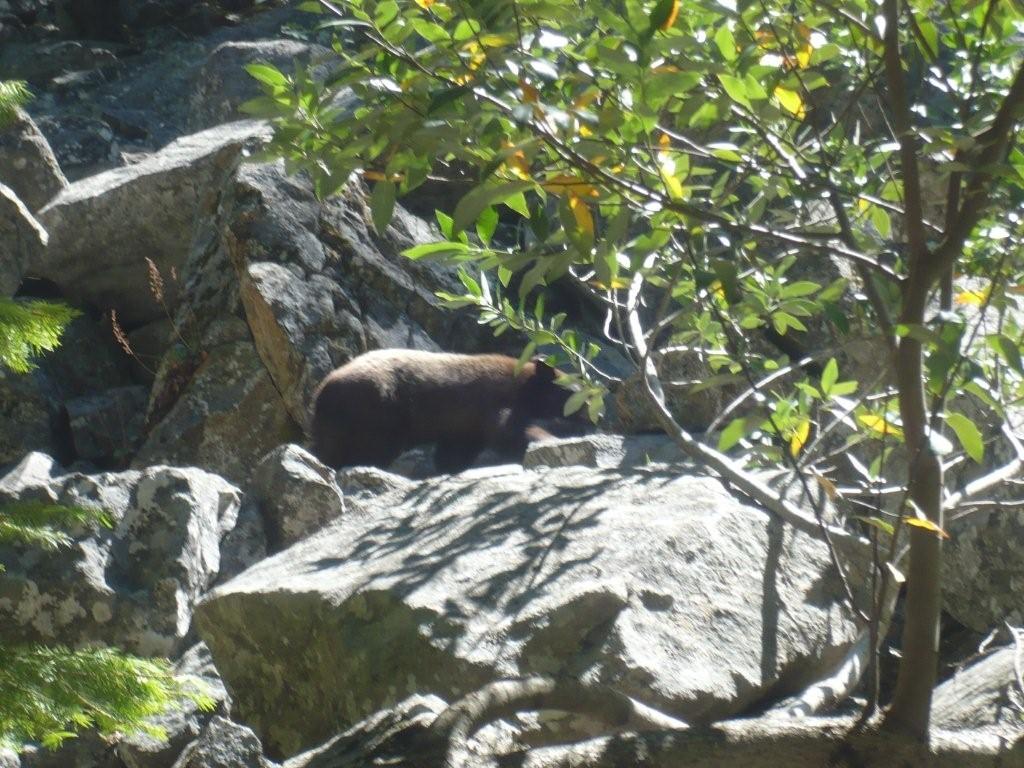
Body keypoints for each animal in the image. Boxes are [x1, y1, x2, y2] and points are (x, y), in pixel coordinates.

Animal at [307, 350, 581, 473]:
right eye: (576, 392)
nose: (589, 415)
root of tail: (322, 391)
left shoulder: (464, 427)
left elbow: (457, 449)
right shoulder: (495, 400)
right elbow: (507, 430)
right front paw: (547, 439)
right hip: (375, 407)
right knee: (374, 445)